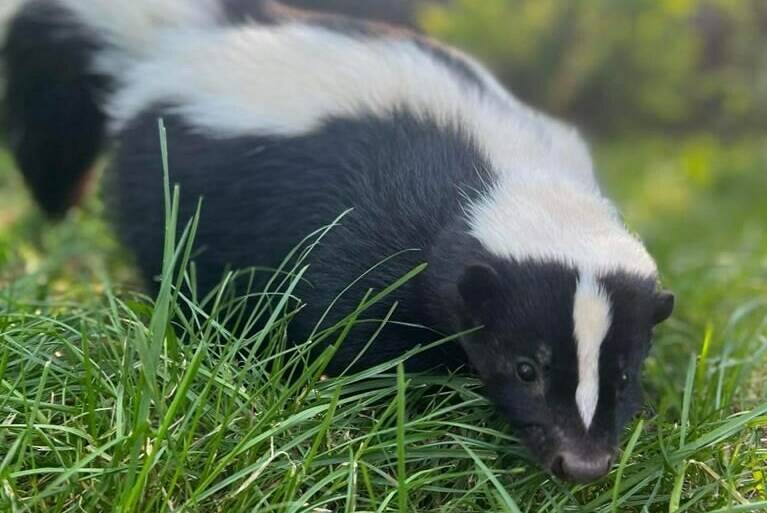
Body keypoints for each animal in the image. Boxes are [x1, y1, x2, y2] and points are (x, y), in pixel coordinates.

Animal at [3, 0, 672, 482]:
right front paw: (364, 407)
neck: (513, 171)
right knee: (175, 261)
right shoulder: (373, 217)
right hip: (172, 178)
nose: (582, 464)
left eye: (623, 375)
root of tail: (176, 39)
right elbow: (346, 320)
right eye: (526, 367)